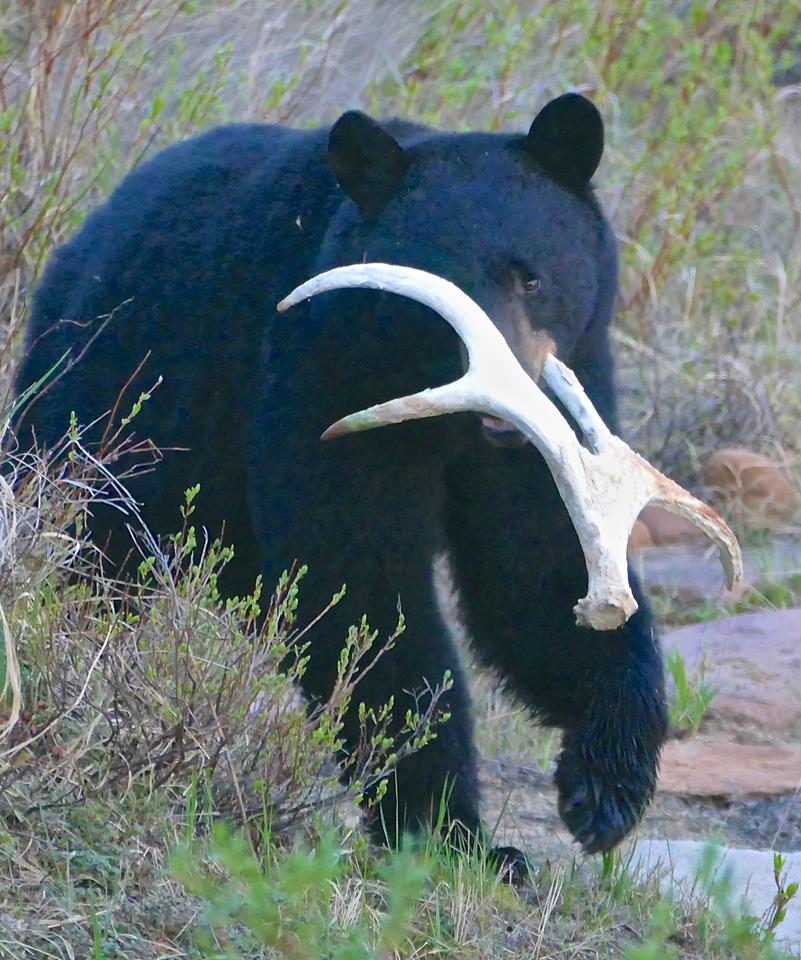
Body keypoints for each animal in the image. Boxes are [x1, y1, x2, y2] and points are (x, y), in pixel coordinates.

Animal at [15, 92, 668, 856]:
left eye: (530, 277)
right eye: (432, 300)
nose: (501, 400)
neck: (443, 421)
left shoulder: (555, 412)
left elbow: (540, 568)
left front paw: (607, 783)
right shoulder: (324, 377)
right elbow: (361, 584)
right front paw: (445, 830)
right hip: (112, 399)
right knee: (86, 543)